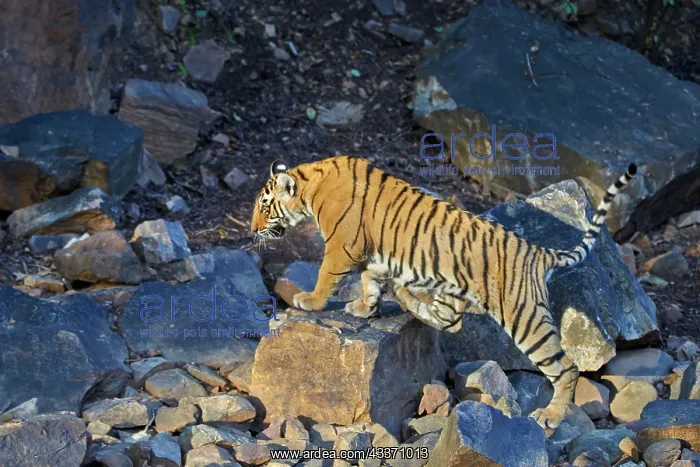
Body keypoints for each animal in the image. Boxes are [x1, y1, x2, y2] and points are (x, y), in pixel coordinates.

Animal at [250, 155, 637, 435]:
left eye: (265, 207)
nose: (252, 229)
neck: (311, 183)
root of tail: (539, 252)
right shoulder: (371, 255)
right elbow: (369, 279)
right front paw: (364, 307)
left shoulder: (341, 245)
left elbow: (327, 276)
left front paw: (310, 301)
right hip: (452, 288)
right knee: (451, 322)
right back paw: (404, 296)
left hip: (525, 318)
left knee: (566, 367)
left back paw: (551, 416)